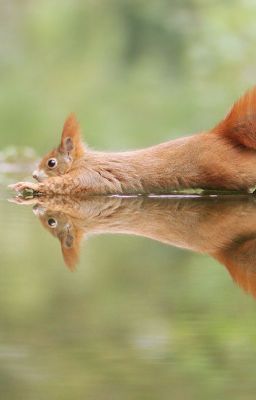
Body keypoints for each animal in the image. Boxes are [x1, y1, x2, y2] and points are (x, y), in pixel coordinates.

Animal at [9, 86, 256, 196]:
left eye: (51, 163)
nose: (34, 174)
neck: (83, 161)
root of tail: (217, 134)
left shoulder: (90, 176)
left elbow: (66, 185)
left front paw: (27, 186)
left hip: (228, 169)